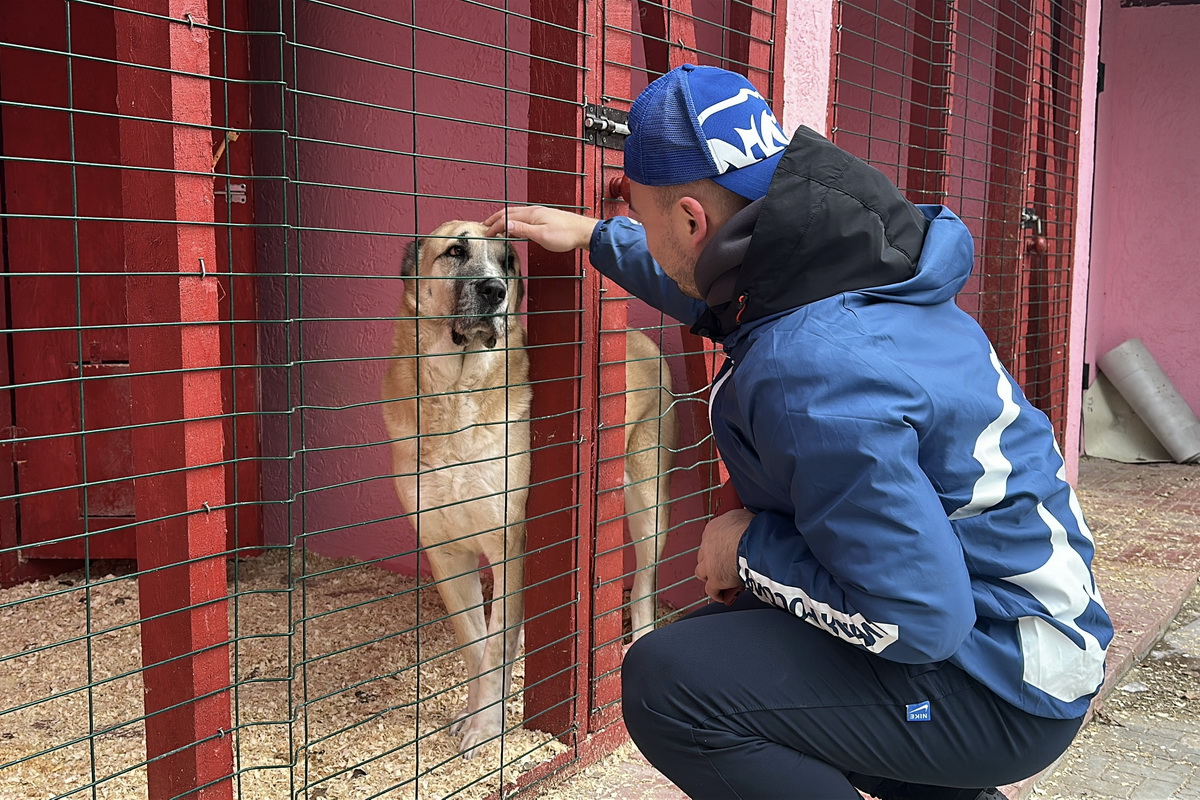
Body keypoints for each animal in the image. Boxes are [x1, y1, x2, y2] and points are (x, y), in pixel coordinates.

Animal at [386, 224, 686, 758]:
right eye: (456, 250)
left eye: (507, 261)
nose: (495, 291)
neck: (454, 397)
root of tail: (633, 334)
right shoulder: (445, 553)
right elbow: (477, 645)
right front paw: (474, 712)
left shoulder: (512, 545)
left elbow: (496, 644)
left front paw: (487, 728)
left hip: (648, 506)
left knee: (643, 588)